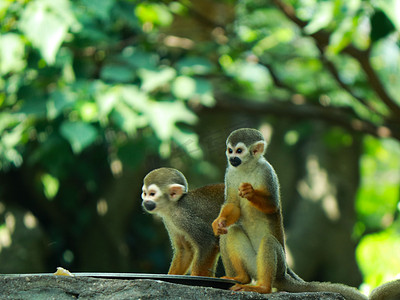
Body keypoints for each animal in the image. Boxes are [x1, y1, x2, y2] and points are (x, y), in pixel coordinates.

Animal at [211, 129, 368, 300]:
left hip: (278, 266)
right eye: (230, 150)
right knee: (230, 231)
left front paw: (250, 192)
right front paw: (219, 222)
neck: (247, 167)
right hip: (253, 265)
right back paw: (241, 277)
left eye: (239, 151)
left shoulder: (267, 172)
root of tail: (283, 276)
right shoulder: (230, 174)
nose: (232, 158)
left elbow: (273, 206)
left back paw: (263, 288)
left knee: (268, 241)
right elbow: (233, 204)